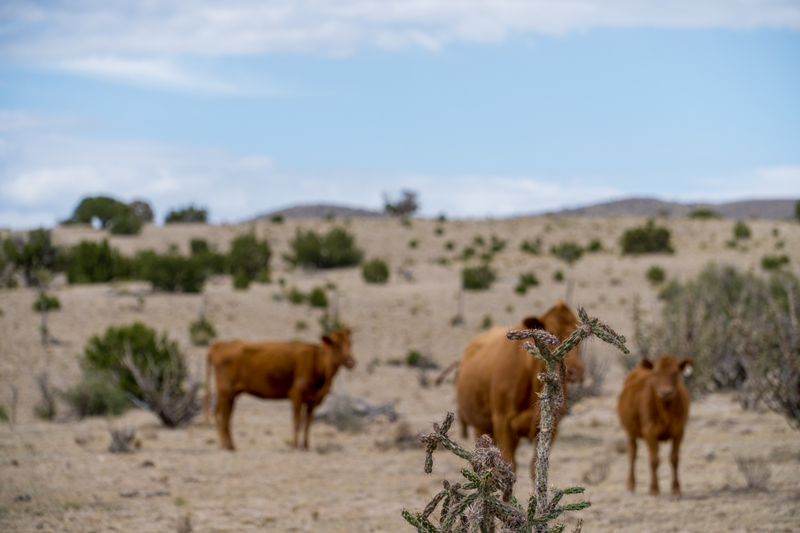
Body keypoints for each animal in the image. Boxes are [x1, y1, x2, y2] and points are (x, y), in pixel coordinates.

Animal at [203, 328, 356, 448]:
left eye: (349, 343)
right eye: (335, 345)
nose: (351, 362)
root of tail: (218, 345)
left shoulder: (312, 401)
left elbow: (307, 424)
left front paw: (306, 446)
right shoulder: (296, 396)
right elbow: (297, 422)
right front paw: (295, 446)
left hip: (232, 394)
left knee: (227, 417)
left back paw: (231, 446)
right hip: (224, 391)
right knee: (220, 415)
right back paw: (224, 446)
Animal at [456, 302, 580, 472]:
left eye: (578, 337)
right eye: (550, 333)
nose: (574, 371)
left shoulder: (551, 425)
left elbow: (536, 466)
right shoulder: (502, 423)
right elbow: (510, 464)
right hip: (481, 428)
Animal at [620, 354, 692, 494]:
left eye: (676, 373)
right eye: (656, 373)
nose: (666, 392)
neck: (666, 412)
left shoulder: (679, 432)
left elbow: (674, 459)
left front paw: (676, 489)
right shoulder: (649, 432)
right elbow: (654, 460)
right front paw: (653, 489)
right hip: (630, 433)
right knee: (632, 455)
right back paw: (630, 485)